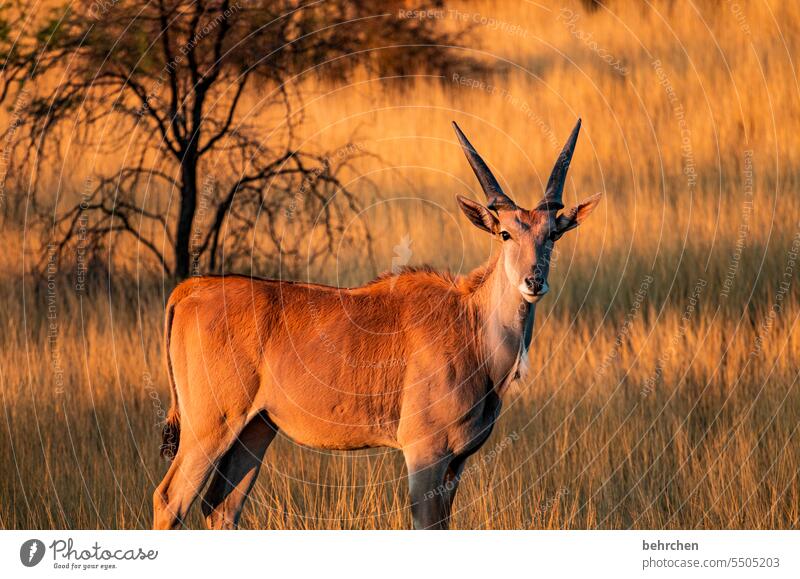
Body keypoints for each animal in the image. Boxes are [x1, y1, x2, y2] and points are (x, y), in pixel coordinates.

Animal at [153, 119, 600, 532]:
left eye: (552, 235)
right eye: (505, 233)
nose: (533, 281)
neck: (470, 322)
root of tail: (191, 291)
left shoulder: (455, 465)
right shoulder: (424, 455)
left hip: (254, 430)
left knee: (220, 508)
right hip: (208, 428)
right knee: (170, 499)